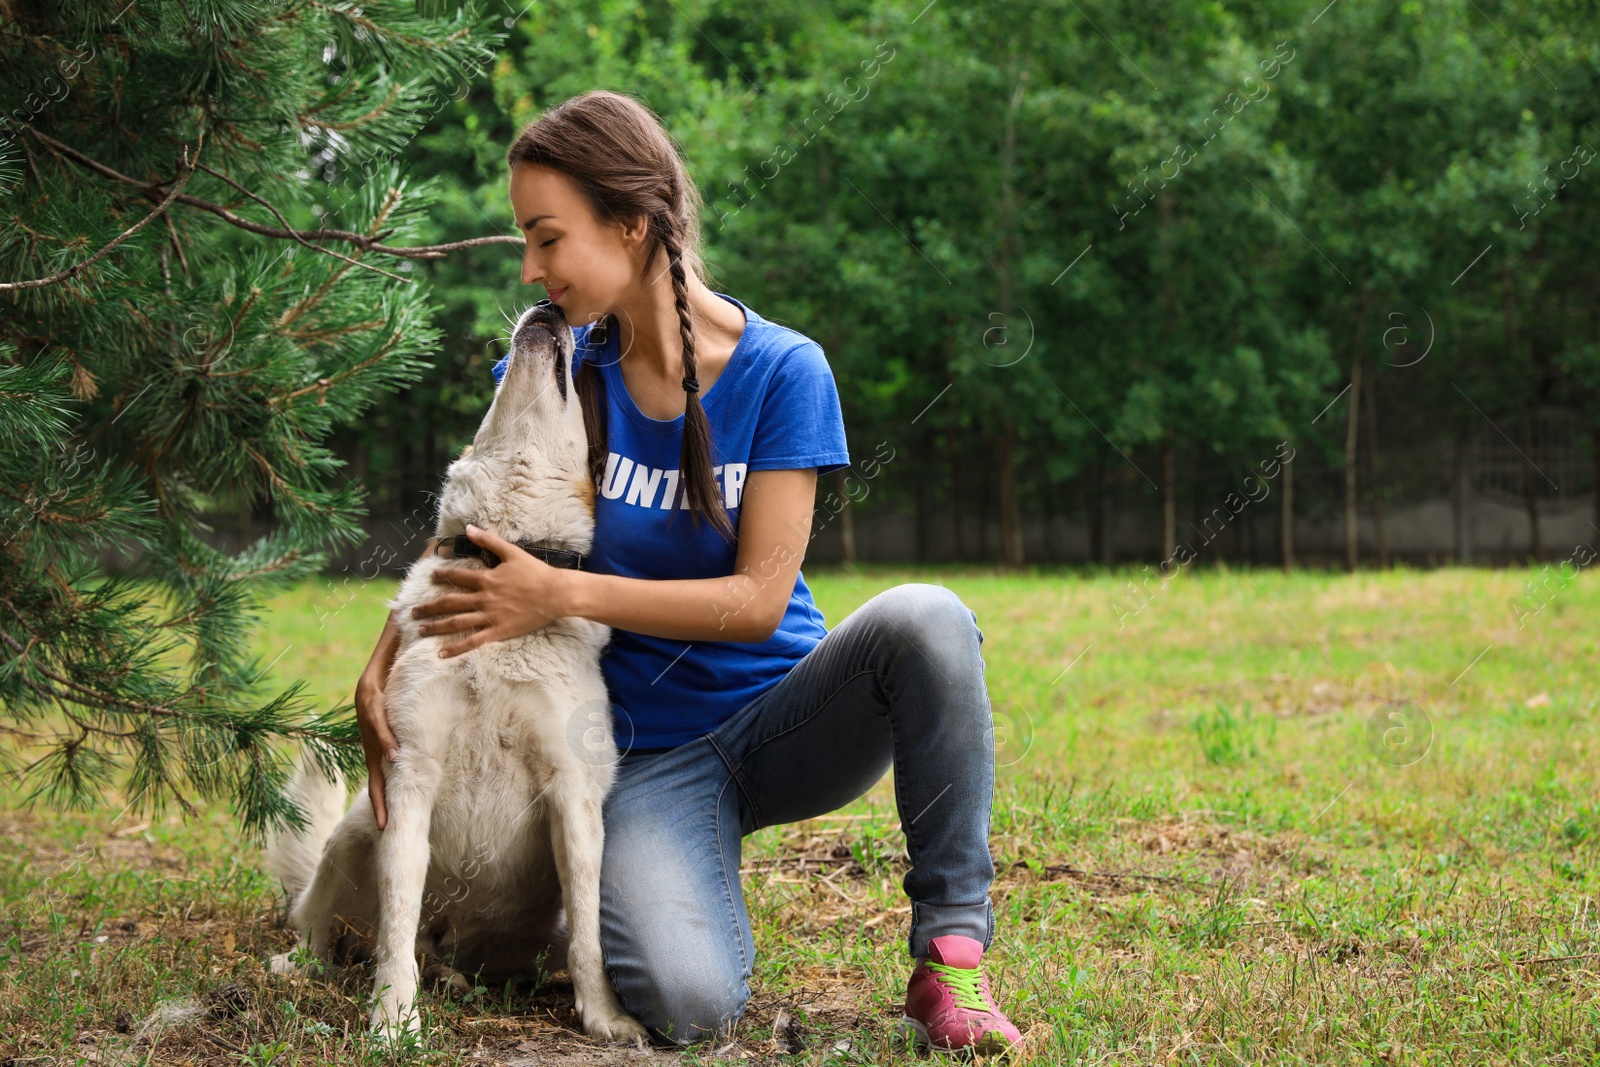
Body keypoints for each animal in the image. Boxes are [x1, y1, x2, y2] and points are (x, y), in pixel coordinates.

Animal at [262, 299, 643, 1043]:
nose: (550, 305)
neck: (501, 556)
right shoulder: (408, 778)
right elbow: (394, 923)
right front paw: (392, 1021)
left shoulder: (573, 795)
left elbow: (591, 936)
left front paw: (605, 1017)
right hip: (354, 834)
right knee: (325, 927)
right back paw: (305, 967)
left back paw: (457, 978)